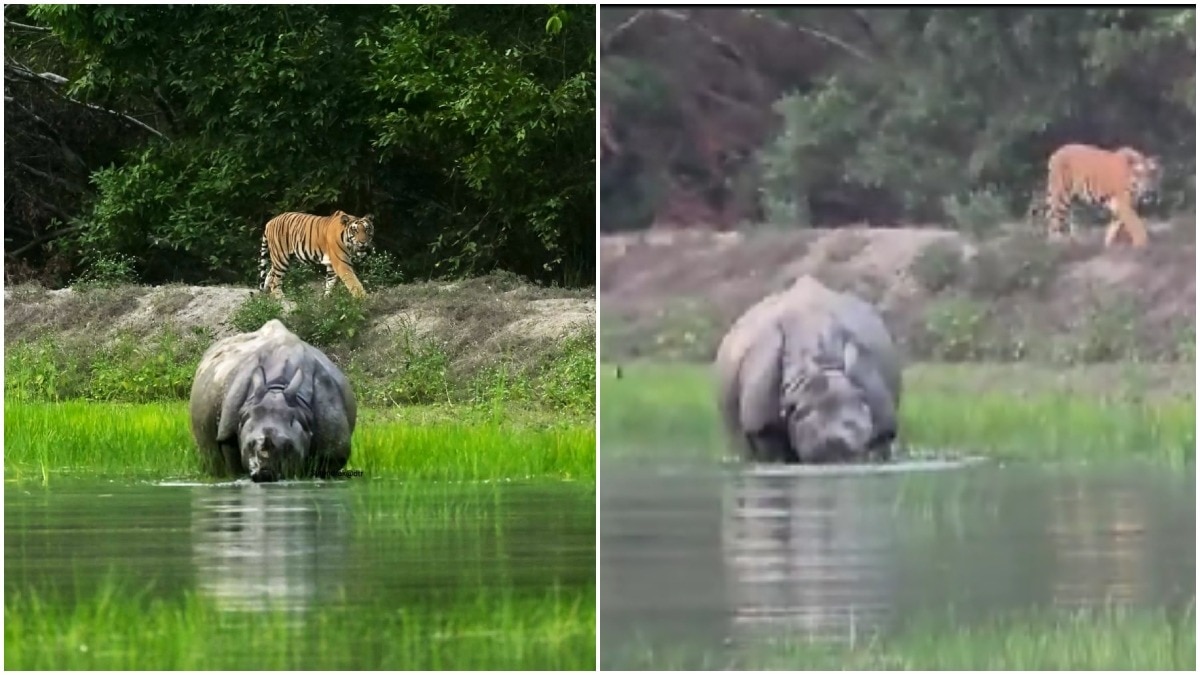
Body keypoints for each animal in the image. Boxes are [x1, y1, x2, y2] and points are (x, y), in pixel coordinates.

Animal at [189, 319, 356, 482]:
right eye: (249, 445)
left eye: (289, 447)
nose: (265, 474)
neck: (276, 388)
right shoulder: (228, 433)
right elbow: (233, 467)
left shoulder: (334, 447)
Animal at [714, 275, 902, 464]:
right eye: (801, 413)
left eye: (853, 424)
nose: (836, 444)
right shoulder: (762, 427)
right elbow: (771, 452)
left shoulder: (882, 423)